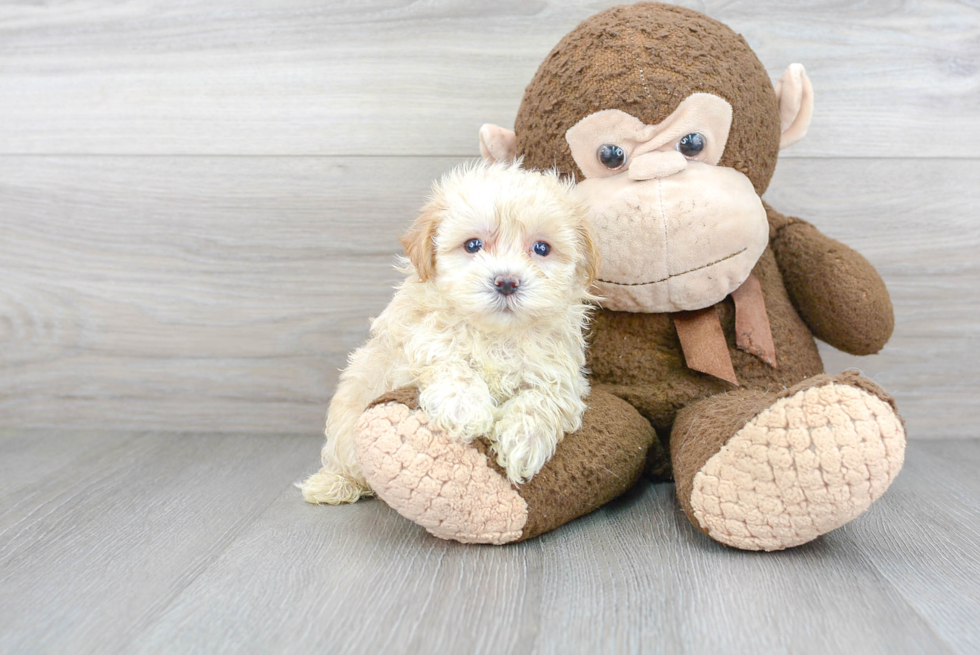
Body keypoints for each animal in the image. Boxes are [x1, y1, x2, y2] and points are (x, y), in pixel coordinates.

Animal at [302, 160, 600, 508]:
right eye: (473, 245)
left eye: (541, 248)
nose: (506, 282)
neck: (497, 336)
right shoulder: (418, 344)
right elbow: (449, 362)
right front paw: (465, 411)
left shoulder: (560, 376)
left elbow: (542, 399)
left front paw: (522, 443)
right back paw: (335, 484)